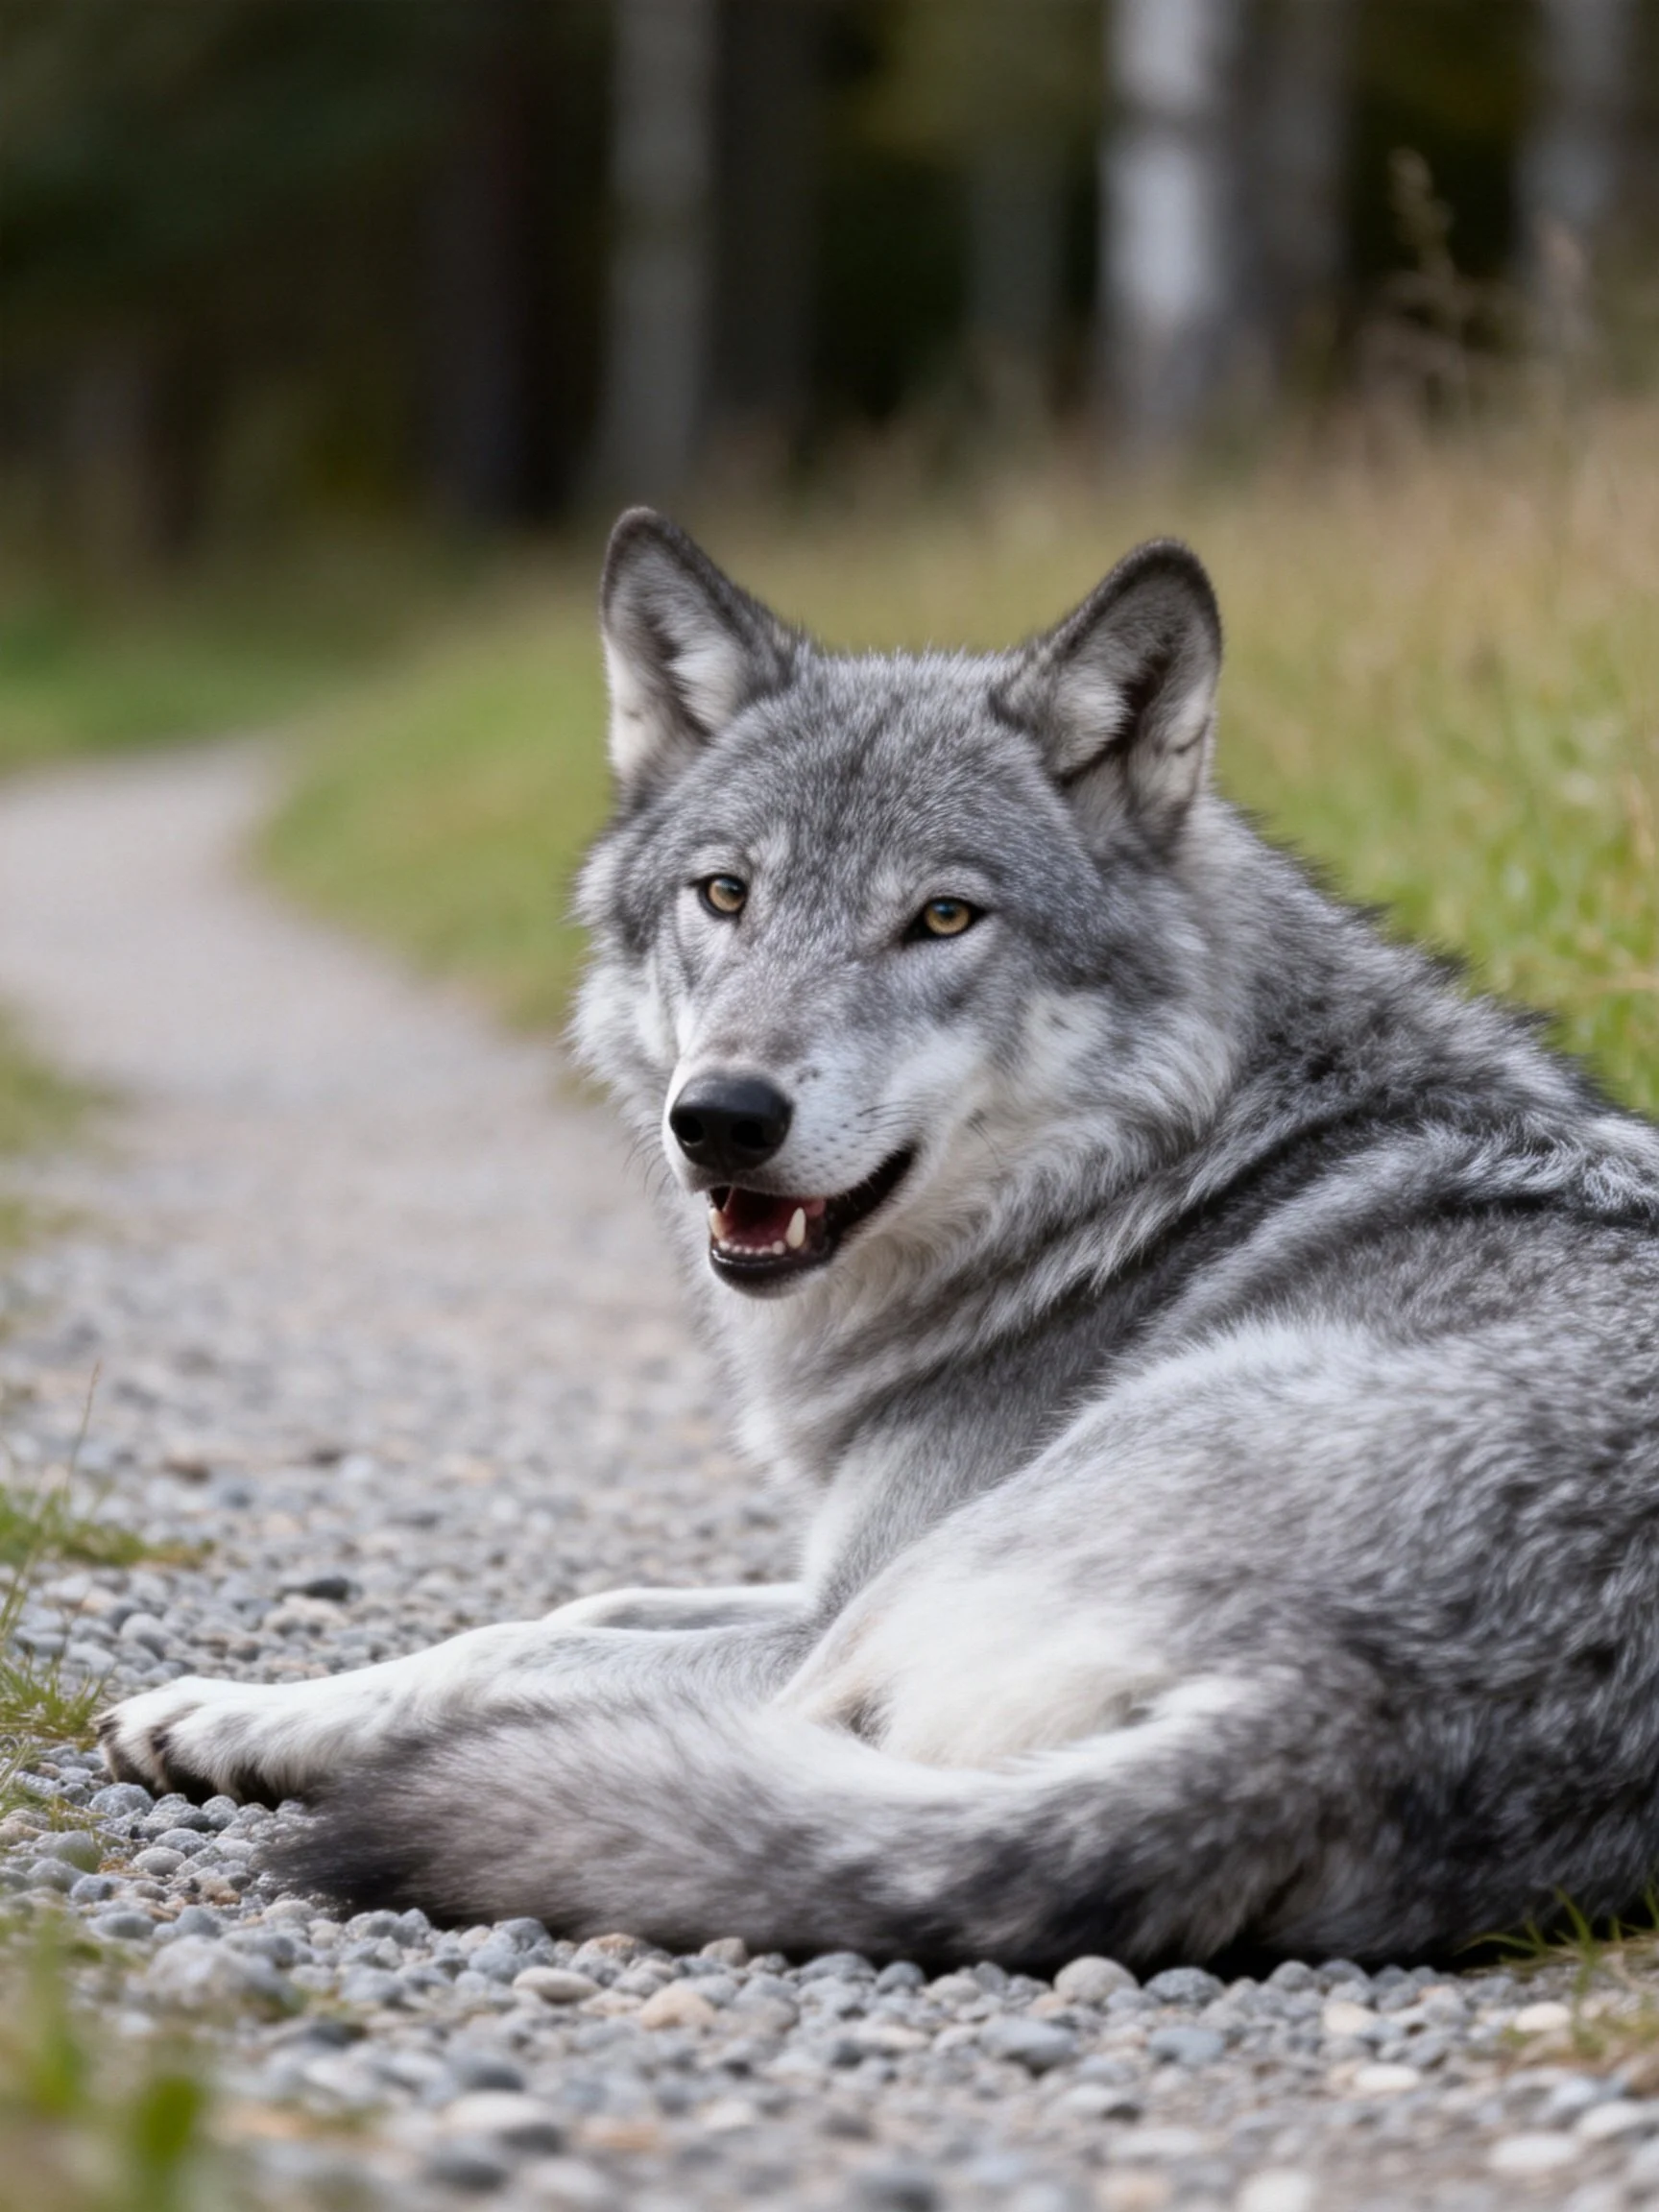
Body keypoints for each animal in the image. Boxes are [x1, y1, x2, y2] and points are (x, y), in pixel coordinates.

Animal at [101, 512, 1659, 1971]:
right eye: (726, 894)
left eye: (943, 916)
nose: (720, 1119)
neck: (1157, 1184)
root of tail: (1335, 1707)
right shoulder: (827, 1566)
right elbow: (589, 1591)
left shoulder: (826, 1601)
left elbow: (507, 1640)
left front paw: (237, 1712)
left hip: (910, 1605)